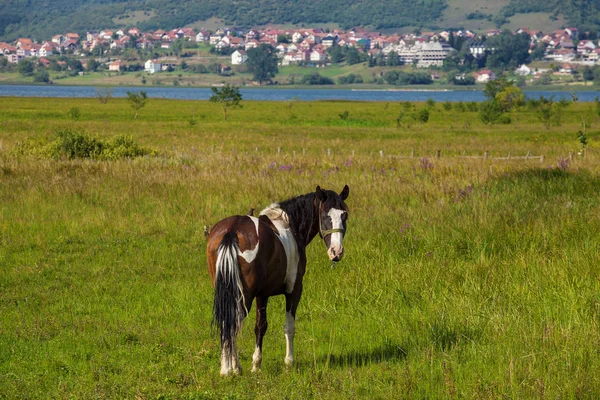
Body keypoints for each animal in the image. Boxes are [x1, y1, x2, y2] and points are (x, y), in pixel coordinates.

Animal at [206, 184, 350, 376]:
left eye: (344, 215)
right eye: (325, 215)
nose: (336, 252)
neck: (290, 226)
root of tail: (232, 231)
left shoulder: (262, 295)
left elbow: (260, 326)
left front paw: (255, 365)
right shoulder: (294, 290)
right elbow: (289, 326)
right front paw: (288, 363)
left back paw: (232, 367)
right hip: (244, 296)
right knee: (233, 324)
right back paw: (228, 369)